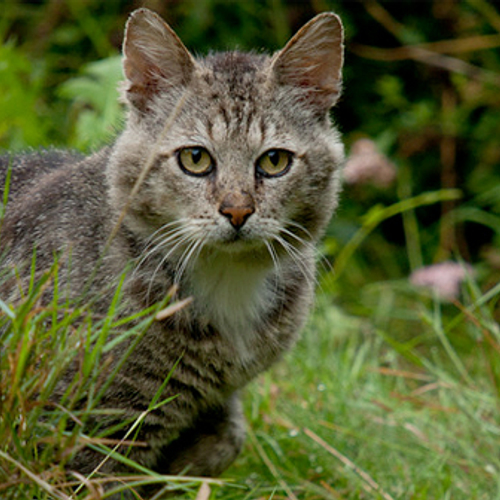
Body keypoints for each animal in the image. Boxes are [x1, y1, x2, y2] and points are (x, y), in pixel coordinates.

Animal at [0, 5, 344, 498]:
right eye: (195, 159)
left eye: (274, 161)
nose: (237, 211)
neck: (227, 279)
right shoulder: (90, 427)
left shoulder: (217, 400)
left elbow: (228, 437)